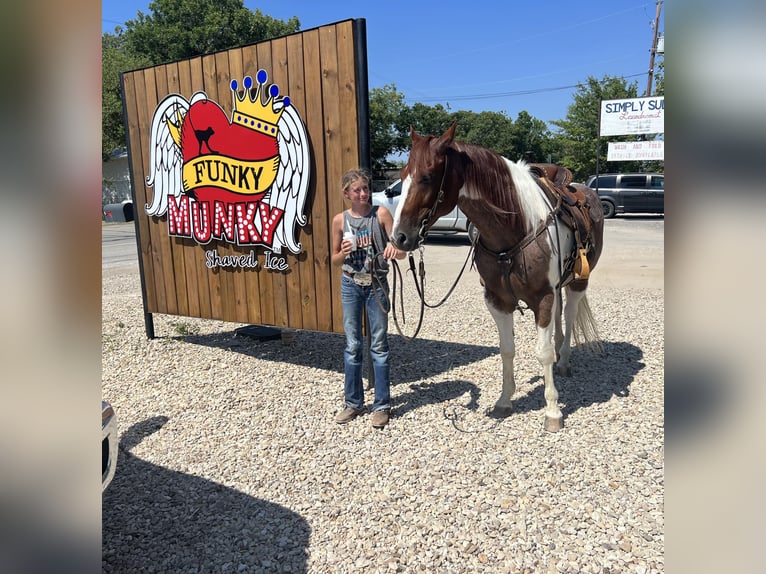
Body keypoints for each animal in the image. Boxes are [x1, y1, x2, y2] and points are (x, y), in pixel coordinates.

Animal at [390, 125, 608, 432]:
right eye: (402, 175)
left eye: (427, 176)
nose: (399, 237)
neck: (515, 227)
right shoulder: (497, 300)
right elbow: (507, 349)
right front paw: (505, 401)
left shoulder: (543, 297)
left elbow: (542, 352)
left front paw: (553, 411)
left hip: (578, 282)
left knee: (569, 313)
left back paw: (564, 361)